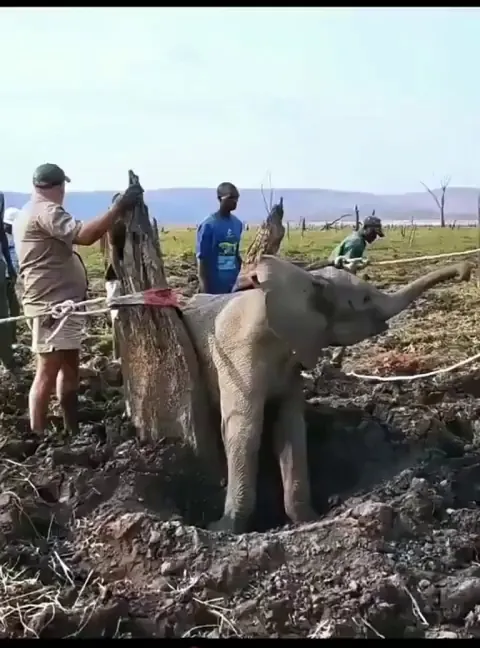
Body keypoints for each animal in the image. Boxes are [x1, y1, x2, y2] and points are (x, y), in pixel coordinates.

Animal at [181, 255, 473, 534]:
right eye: (364, 299)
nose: (465, 273)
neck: (306, 280)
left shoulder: (293, 359)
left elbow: (291, 431)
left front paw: (308, 519)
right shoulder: (237, 354)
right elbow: (244, 431)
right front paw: (223, 529)